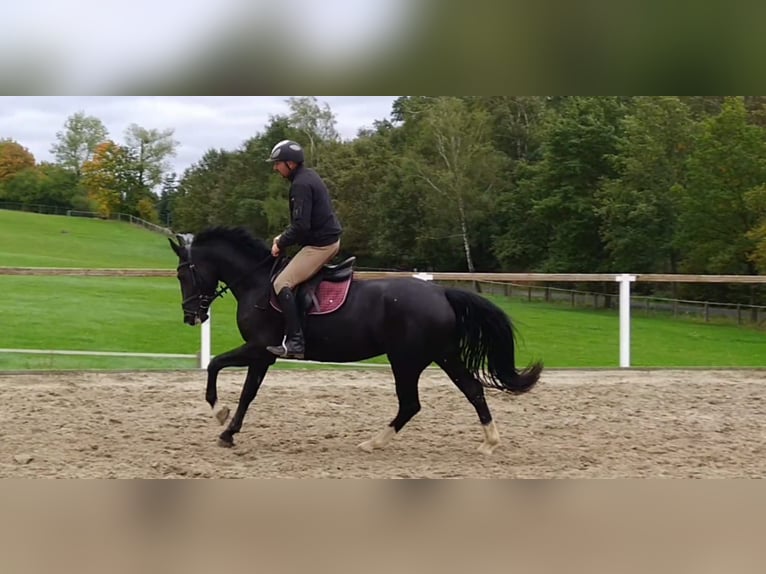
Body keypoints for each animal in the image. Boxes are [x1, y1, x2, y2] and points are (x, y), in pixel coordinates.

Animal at [170, 227, 540, 456]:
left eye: (182, 273)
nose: (190, 316)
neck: (257, 283)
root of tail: (441, 293)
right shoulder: (262, 356)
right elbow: (246, 392)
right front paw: (228, 430)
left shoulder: (260, 350)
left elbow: (217, 367)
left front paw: (221, 418)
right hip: (442, 355)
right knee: (472, 390)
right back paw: (489, 442)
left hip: (406, 360)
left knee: (412, 404)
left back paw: (373, 443)